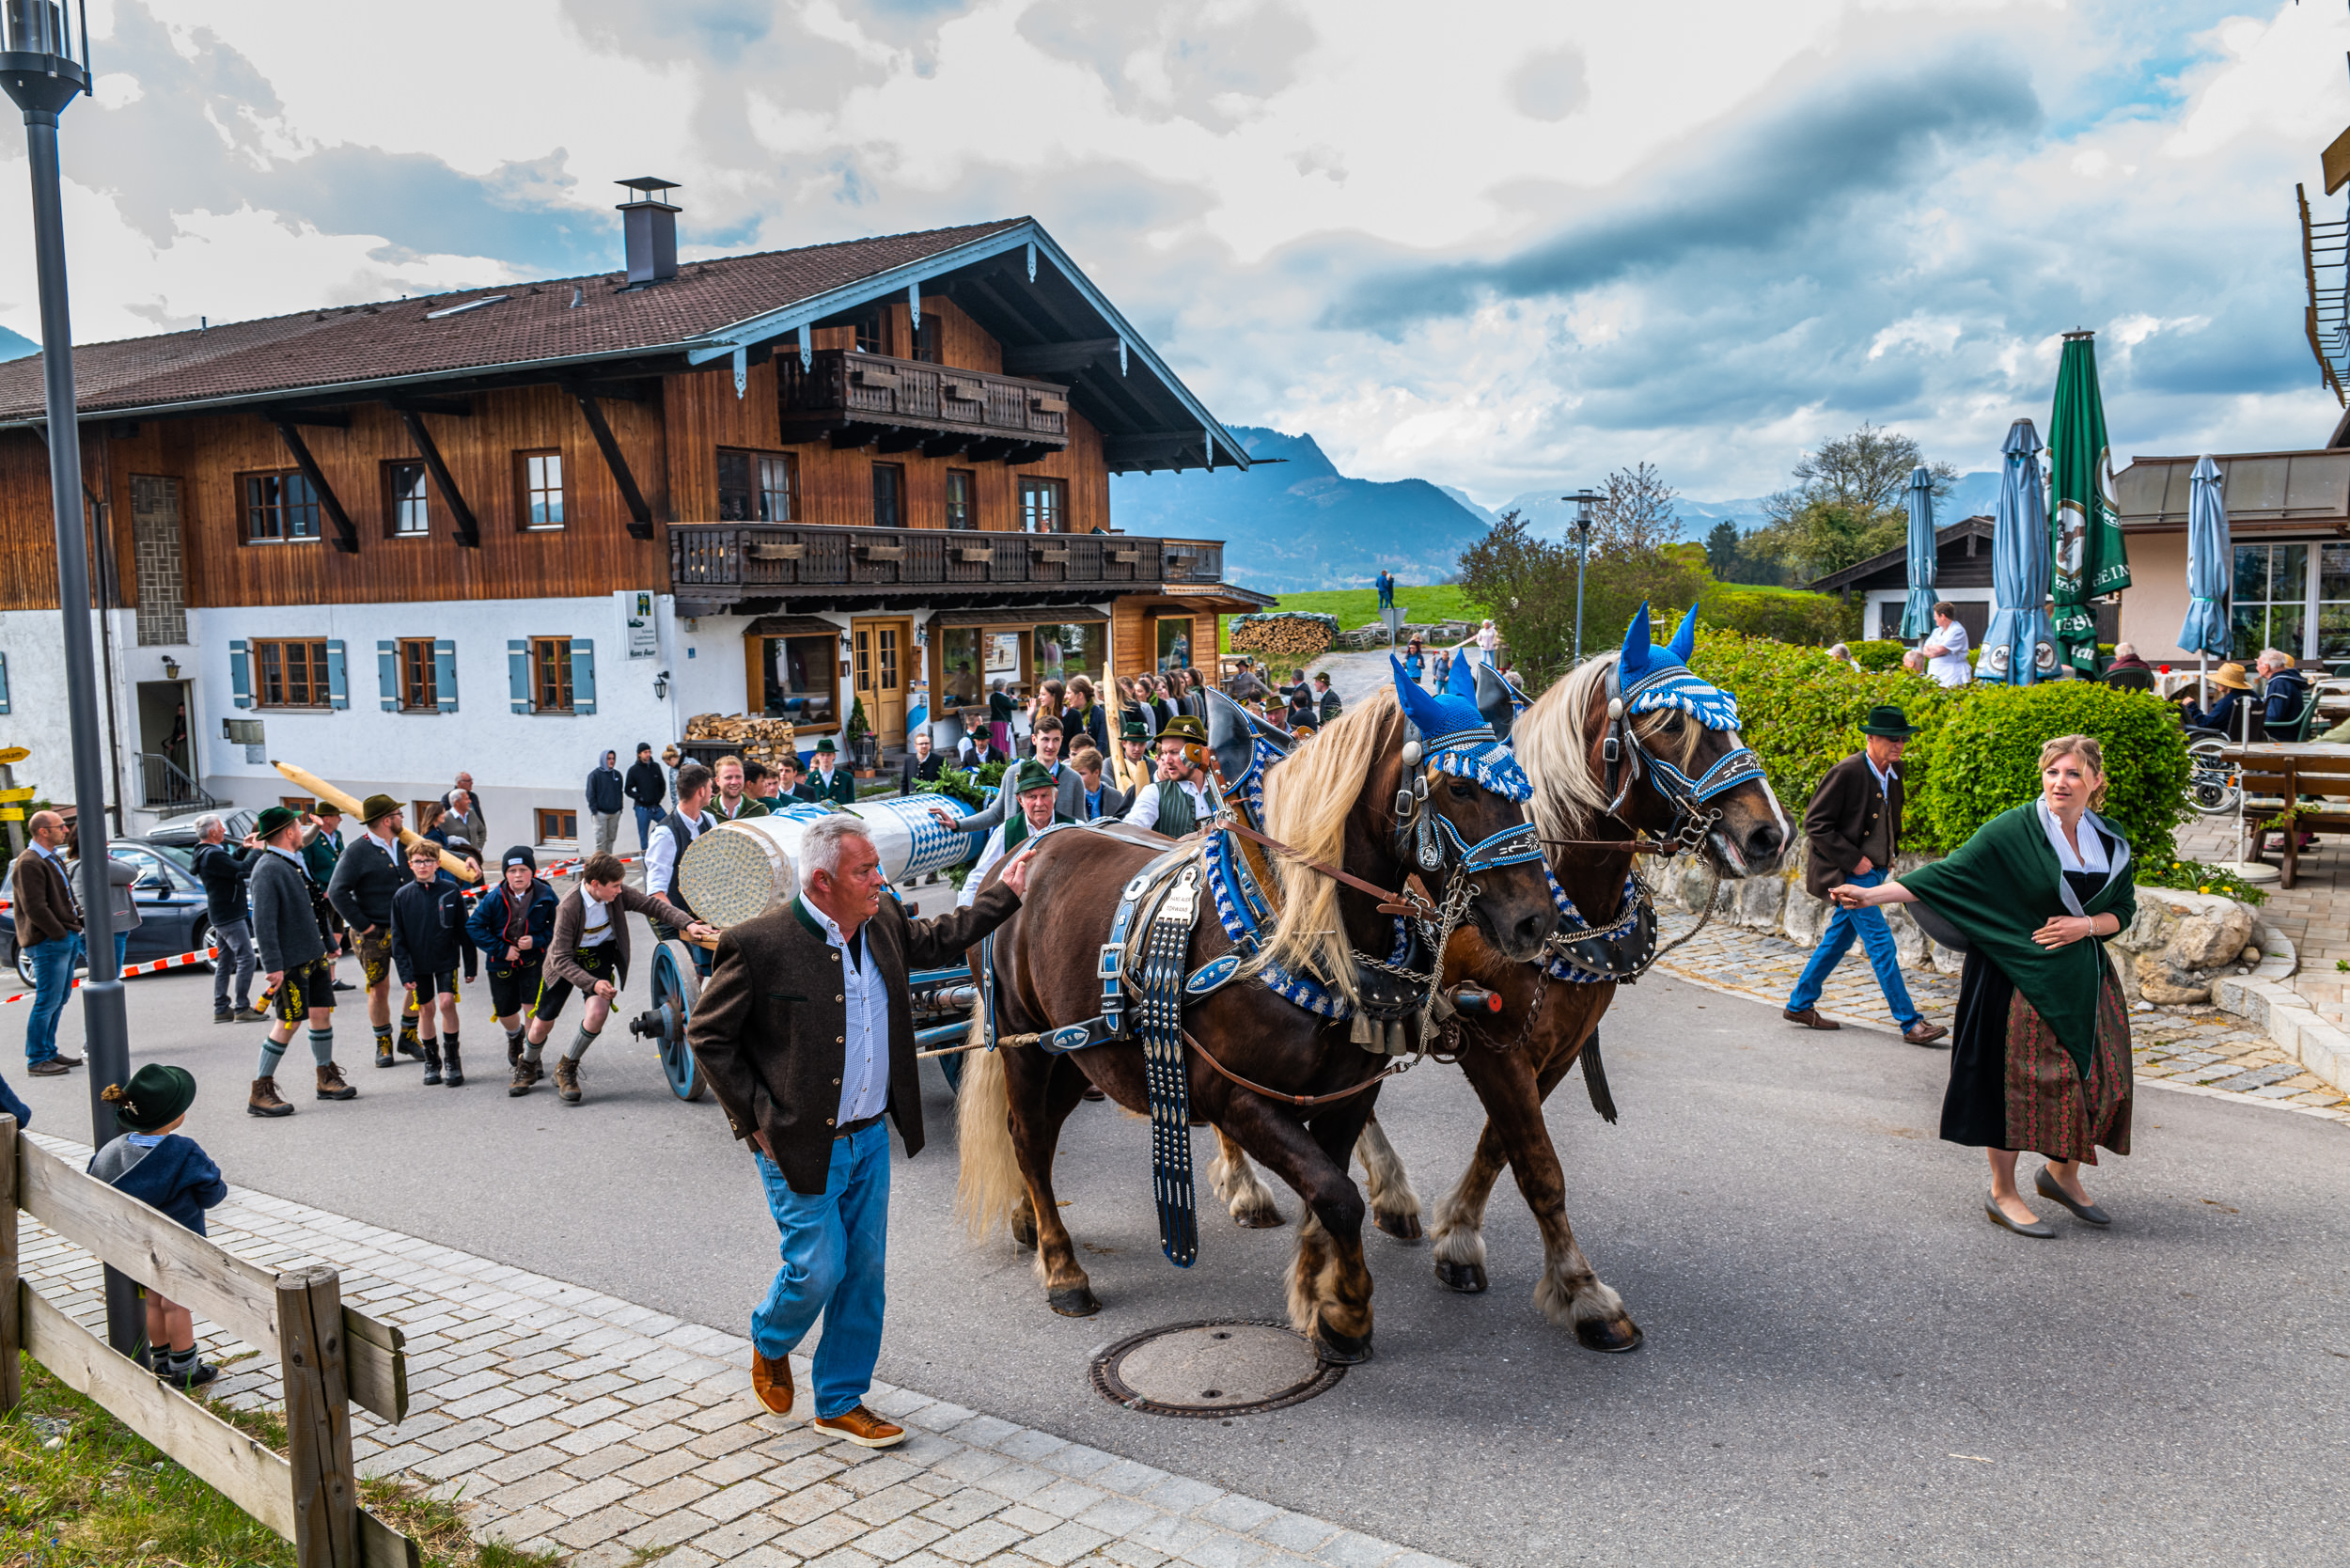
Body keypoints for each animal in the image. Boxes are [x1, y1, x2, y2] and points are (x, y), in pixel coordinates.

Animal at [954, 671, 1557, 1362]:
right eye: (1459, 787)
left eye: (1518, 783)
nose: (1535, 921)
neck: (1297, 928)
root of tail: (1025, 849)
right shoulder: (1239, 1098)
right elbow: (1338, 1196)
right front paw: (1348, 1312)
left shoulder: (1348, 1093)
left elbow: (1329, 1192)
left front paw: (1316, 1294)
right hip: (1025, 1043)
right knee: (1027, 1135)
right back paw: (1062, 1269)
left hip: (1080, 1050)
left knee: (1041, 1132)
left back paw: (1028, 1219)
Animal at [1208, 602, 1791, 1350]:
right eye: (1669, 725)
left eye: (1732, 715)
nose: (1769, 837)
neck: (1562, 890)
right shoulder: (1490, 1047)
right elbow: (1539, 1166)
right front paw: (1583, 1293)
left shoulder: (1554, 1048)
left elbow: (1501, 1148)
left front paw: (1457, 1238)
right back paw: (1245, 1184)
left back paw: (1390, 1193)